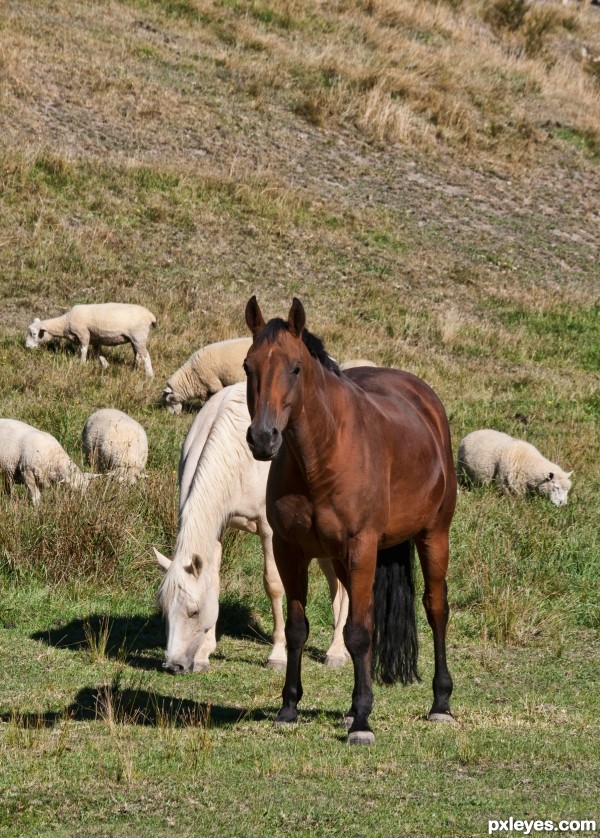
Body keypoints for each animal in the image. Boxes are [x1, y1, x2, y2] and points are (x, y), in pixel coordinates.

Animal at [25, 304, 157, 378]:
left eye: (34, 334)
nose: (27, 347)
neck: (64, 323)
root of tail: (151, 316)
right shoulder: (95, 338)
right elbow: (98, 353)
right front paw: (106, 365)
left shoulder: (83, 333)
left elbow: (83, 350)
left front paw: (82, 364)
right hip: (134, 339)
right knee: (137, 354)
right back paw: (134, 369)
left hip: (138, 336)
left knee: (146, 355)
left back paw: (150, 375)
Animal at [155, 384, 350, 672]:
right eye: (165, 611)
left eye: (193, 611)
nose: (173, 665)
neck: (238, 456)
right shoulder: (217, 529)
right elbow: (214, 580)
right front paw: (203, 654)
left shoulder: (269, 531)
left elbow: (274, 584)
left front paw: (278, 654)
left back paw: (336, 650)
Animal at [244, 298, 454, 744]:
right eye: (247, 366)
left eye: (295, 368)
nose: (263, 438)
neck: (321, 456)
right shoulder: (291, 551)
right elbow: (299, 629)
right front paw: (289, 708)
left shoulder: (362, 546)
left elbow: (357, 633)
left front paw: (362, 723)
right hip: (346, 560)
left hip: (433, 535)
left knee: (436, 609)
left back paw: (441, 703)